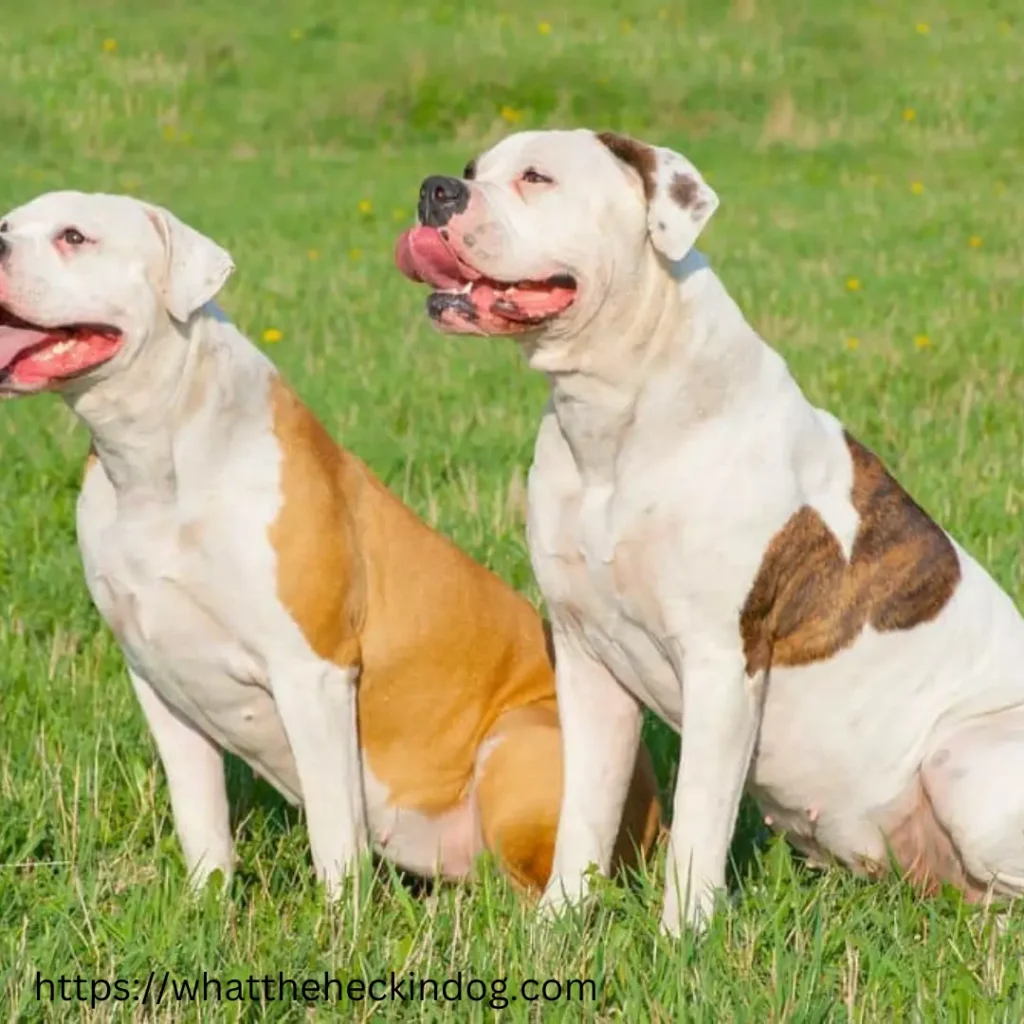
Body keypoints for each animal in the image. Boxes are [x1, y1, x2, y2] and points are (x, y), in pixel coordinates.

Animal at [0, 190, 659, 897]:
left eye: (75, 237)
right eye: (9, 223)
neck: (156, 459)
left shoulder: (312, 672)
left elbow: (333, 827)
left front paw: (341, 915)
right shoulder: (159, 680)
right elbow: (200, 818)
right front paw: (208, 903)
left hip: (518, 745)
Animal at [395, 130, 1024, 937]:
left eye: (538, 177)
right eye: (475, 170)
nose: (436, 189)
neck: (616, 411)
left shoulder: (722, 665)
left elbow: (697, 819)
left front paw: (680, 940)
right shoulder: (585, 657)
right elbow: (583, 810)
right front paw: (557, 928)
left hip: (965, 761)